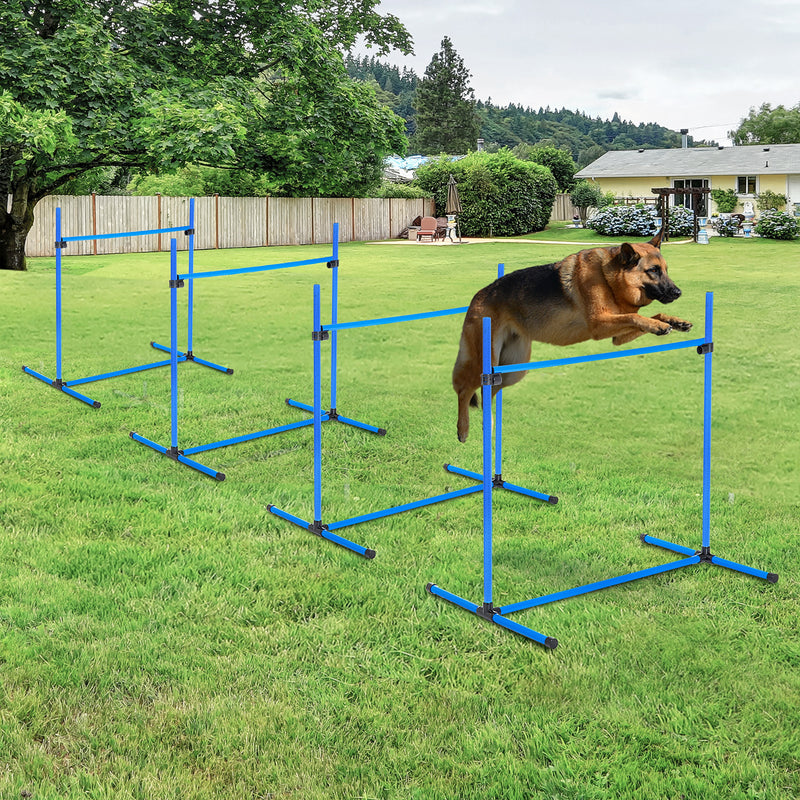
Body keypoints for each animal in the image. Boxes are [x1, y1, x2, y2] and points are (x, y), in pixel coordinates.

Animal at [454, 231, 692, 444]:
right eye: (653, 271)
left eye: (666, 270)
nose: (678, 292)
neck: (608, 278)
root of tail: (477, 297)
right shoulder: (599, 324)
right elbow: (635, 315)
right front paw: (659, 325)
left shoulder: (617, 336)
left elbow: (649, 315)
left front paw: (673, 322)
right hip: (485, 363)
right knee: (464, 389)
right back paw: (463, 430)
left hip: (512, 369)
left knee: (487, 394)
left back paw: (489, 426)